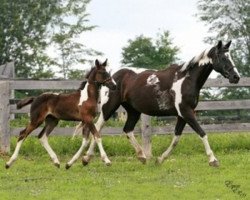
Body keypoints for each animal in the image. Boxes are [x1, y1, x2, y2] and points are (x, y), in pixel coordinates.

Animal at [80, 40, 240, 166]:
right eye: (223, 57)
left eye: (231, 56)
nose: (235, 77)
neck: (186, 80)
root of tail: (111, 77)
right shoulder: (186, 112)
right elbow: (202, 133)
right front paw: (213, 160)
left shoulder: (183, 114)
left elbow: (176, 138)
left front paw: (160, 159)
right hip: (108, 108)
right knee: (97, 128)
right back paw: (90, 159)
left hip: (133, 111)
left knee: (127, 130)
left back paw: (142, 156)